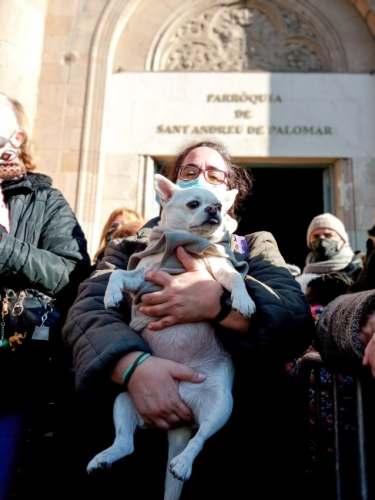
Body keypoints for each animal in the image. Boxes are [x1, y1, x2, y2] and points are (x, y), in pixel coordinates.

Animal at [86, 175, 258, 500]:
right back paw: (103, 458)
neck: (184, 243)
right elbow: (117, 275)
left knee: (199, 439)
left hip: (220, 406)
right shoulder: (142, 278)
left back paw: (182, 463)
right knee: (125, 443)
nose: (214, 211)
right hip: (125, 399)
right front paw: (111, 295)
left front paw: (243, 301)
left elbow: (235, 279)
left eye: (218, 206)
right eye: (193, 204)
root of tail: (181, 417)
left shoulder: (220, 270)